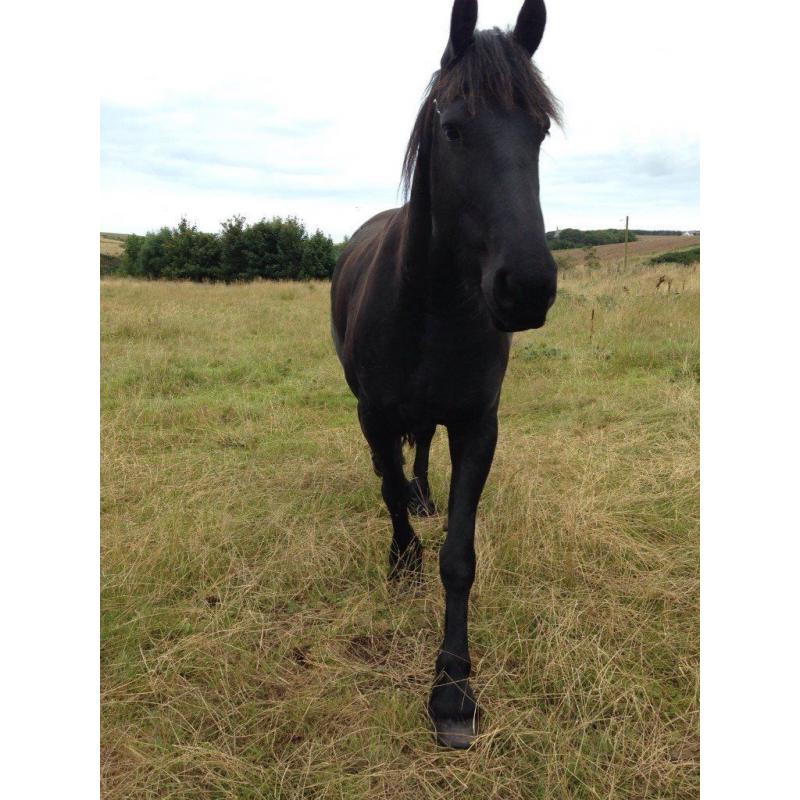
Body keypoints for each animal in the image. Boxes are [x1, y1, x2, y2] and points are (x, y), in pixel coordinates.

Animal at [330, 0, 560, 749]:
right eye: (454, 127)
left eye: (540, 130)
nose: (528, 288)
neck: (429, 301)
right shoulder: (372, 413)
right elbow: (387, 489)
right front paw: (401, 561)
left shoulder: (477, 425)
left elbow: (460, 556)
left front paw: (453, 690)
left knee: (423, 447)